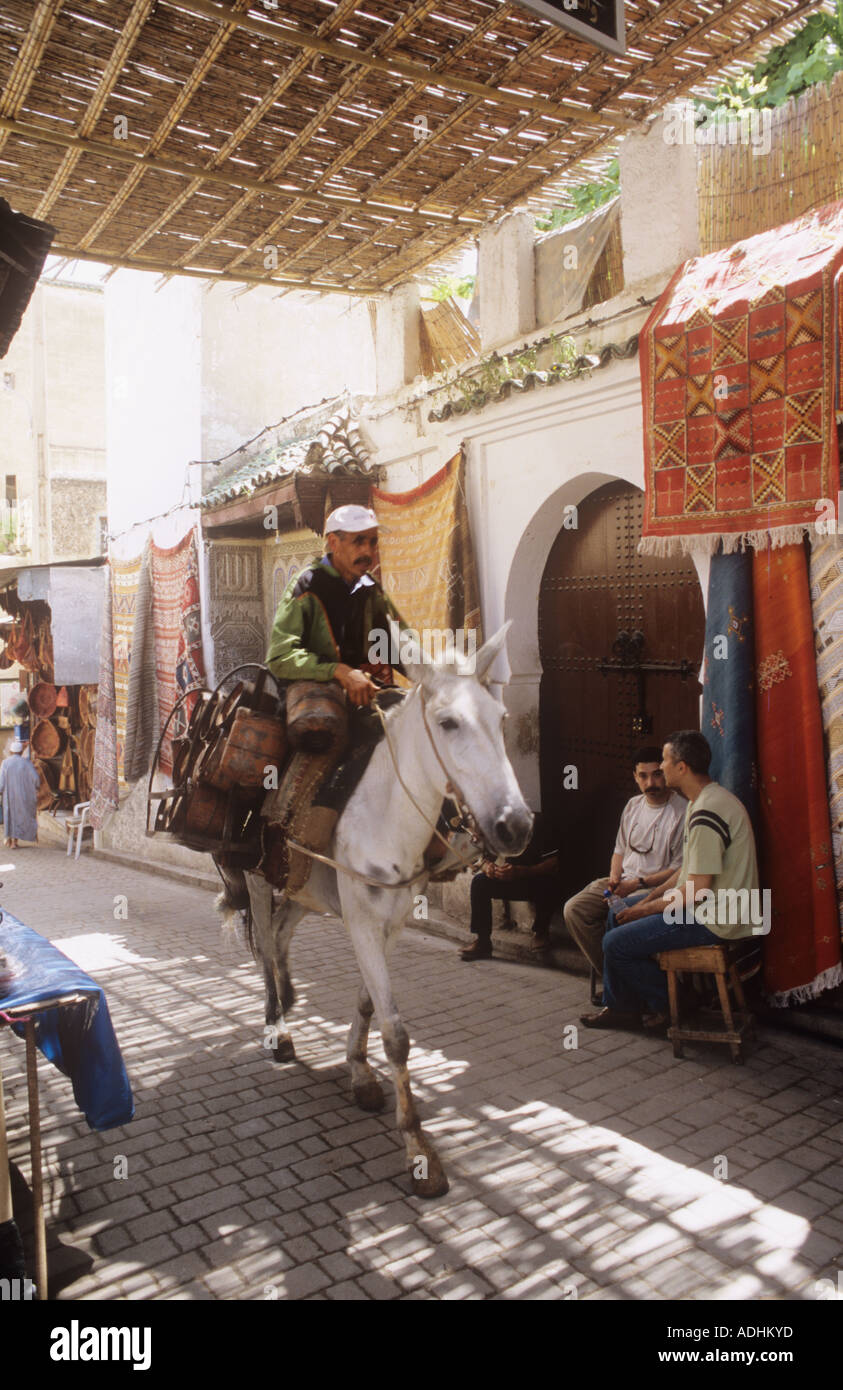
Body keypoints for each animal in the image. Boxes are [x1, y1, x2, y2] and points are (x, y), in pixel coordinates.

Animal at [225, 625, 531, 1200]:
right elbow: (397, 1034)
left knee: (281, 934)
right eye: (447, 722)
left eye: (501, 718)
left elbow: (370, 1004)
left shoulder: (391, 920)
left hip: (303, 887)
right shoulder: (363, 921)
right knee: (265, 948)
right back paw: (278, 1027)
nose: (515, 827)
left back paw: (290, 999)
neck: (387, 811)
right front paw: (419, 1149)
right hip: (255, 876)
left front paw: (360, 1072)